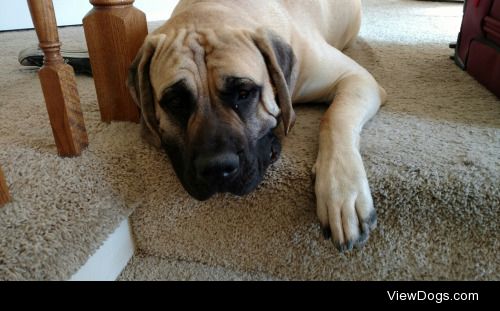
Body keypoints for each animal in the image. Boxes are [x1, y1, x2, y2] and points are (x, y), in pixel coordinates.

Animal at [128, 0, 386, 252]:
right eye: (176, 102)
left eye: (244, 93)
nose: (217, 168)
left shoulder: (355, 78)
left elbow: (333, 117)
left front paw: (341, 191)